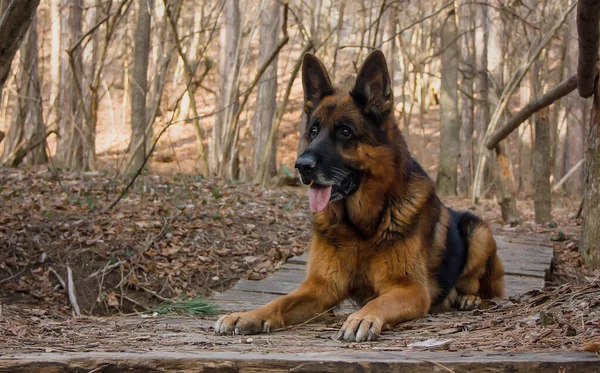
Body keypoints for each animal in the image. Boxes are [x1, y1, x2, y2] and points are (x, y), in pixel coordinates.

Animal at [213, 50, 504, 342]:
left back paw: (470, 298)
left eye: (345, 132)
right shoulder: (320, 287)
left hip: (478, 232)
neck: (359, 228)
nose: (301, 166)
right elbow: (279, 302)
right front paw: (249, 315)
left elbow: (379, 301)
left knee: (484, 287)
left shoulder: (410, 289)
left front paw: (363, 317)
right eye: (314, 131)